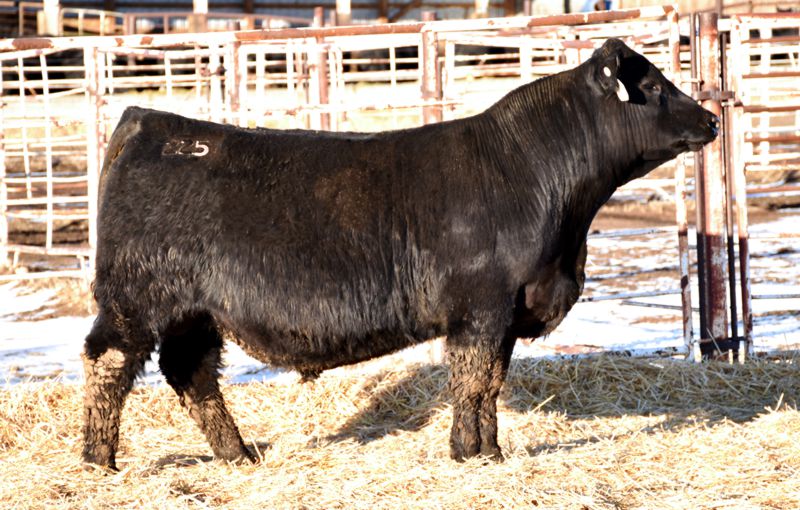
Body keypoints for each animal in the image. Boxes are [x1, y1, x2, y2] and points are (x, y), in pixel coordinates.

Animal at [81, 38, 718, 470]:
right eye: (654, 88)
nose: (712, 118)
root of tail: (146, 121)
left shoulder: (505, 313)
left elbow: (490, 383)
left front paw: (489, 451)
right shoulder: (481, 309)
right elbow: (474, 381)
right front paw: (470, 453)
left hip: (193, 314)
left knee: (190, 372)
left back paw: (238, 455)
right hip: (134, 300)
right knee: (108, 362)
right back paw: (98, 460)